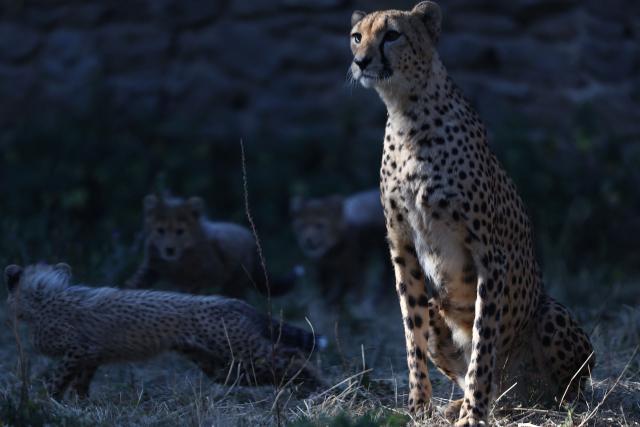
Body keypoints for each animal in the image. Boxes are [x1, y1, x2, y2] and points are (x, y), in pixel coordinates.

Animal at [4, 262, 325, 399]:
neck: (42, 298)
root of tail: (234, 301)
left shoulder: (78, 350)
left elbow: (57, 379)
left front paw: (45, 401)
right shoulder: (90, 355)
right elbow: (80, 383)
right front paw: (78, 406)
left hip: (239, 351)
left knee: (292, 355)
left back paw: (319, 386)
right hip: (223, 368)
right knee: (278, 367)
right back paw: (306, 389)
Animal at [126, 193, 298, 297]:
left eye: (180, 231)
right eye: (160, 230)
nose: (169, 249)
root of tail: (248, 234)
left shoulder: (212, 272)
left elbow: (194, 285)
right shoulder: (152, 266)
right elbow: (138, 280)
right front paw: (128, 289)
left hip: (236, 281)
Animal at [349, 2, 594, 425]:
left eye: (392, 35)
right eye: (356, 36)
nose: (361, 61)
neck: (406, 111)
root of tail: (516, 393)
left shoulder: (489, 255)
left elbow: (483, 341)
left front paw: (473, 414)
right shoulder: (402, 247)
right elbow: (412, 333)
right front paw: (420, 406)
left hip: (551, 317)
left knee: (560, 384)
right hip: (440, 309)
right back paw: (460, 403)